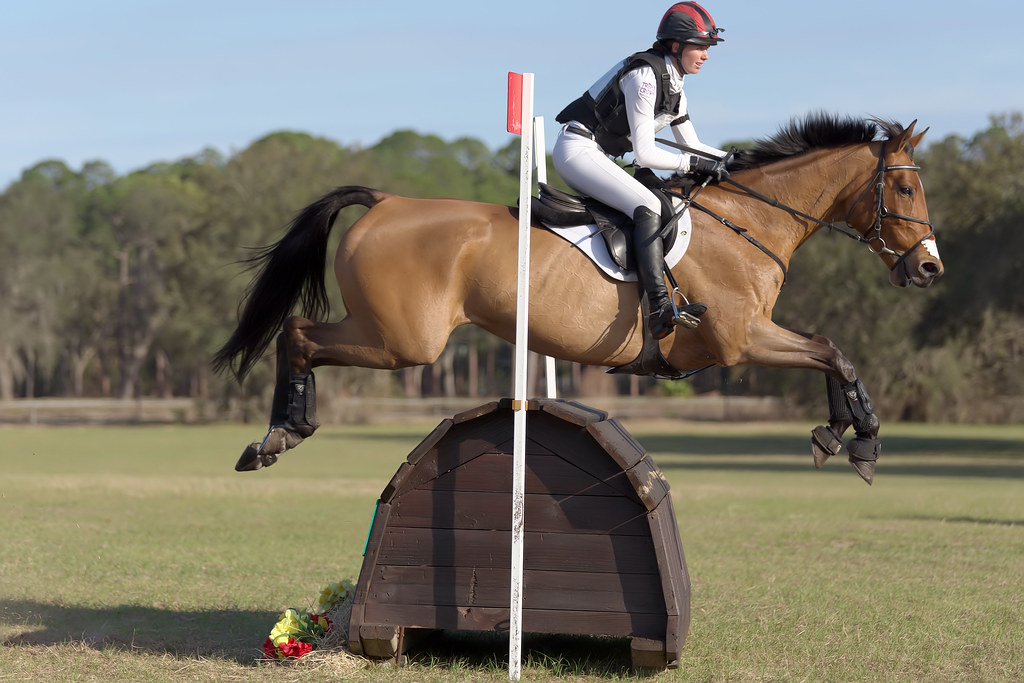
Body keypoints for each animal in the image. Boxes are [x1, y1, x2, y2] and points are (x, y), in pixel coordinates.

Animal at [213, 113, 943, 484]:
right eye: (906, 189)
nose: (930, 268)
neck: (748, 222)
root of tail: (387, 200)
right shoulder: (742, 338)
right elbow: (833, 350)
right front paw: (860, 439)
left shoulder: (750, 338)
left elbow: (830, 352)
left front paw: (838, 431)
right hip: (401, 341)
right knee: (298, 334)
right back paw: (280, 434)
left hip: (392, 337)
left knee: (299, 335)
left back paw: (278, 435)